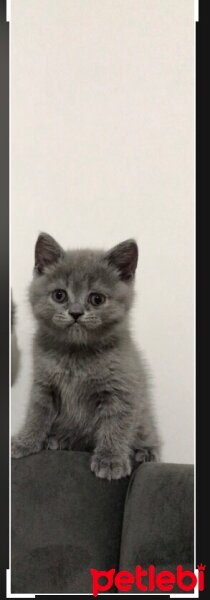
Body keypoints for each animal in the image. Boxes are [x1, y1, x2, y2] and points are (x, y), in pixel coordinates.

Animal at [11, 233, 161, 478]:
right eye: (60, 295)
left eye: (96, 299)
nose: (75, 313)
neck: (76, 352)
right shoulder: (44, 383)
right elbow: (37, 412)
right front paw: (26, 441)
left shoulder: (121, 387)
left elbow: (117, 423)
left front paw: (110, 460)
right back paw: (58, 440)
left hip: (144, 417)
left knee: (146, 431)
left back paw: (146, 452)